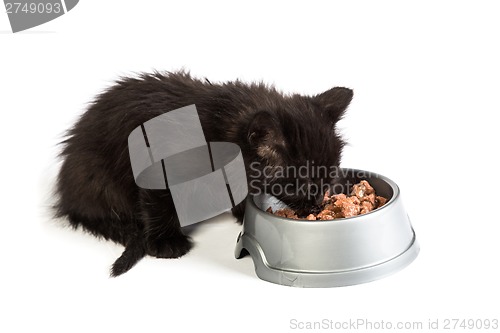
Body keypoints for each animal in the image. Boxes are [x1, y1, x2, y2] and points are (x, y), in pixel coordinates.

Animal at [54, 70, 352, 274]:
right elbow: (159, 204)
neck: (219, 132)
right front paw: (165, 242)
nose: (318, 204)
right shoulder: (160, 169)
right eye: (302, 185)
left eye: (328, 177)